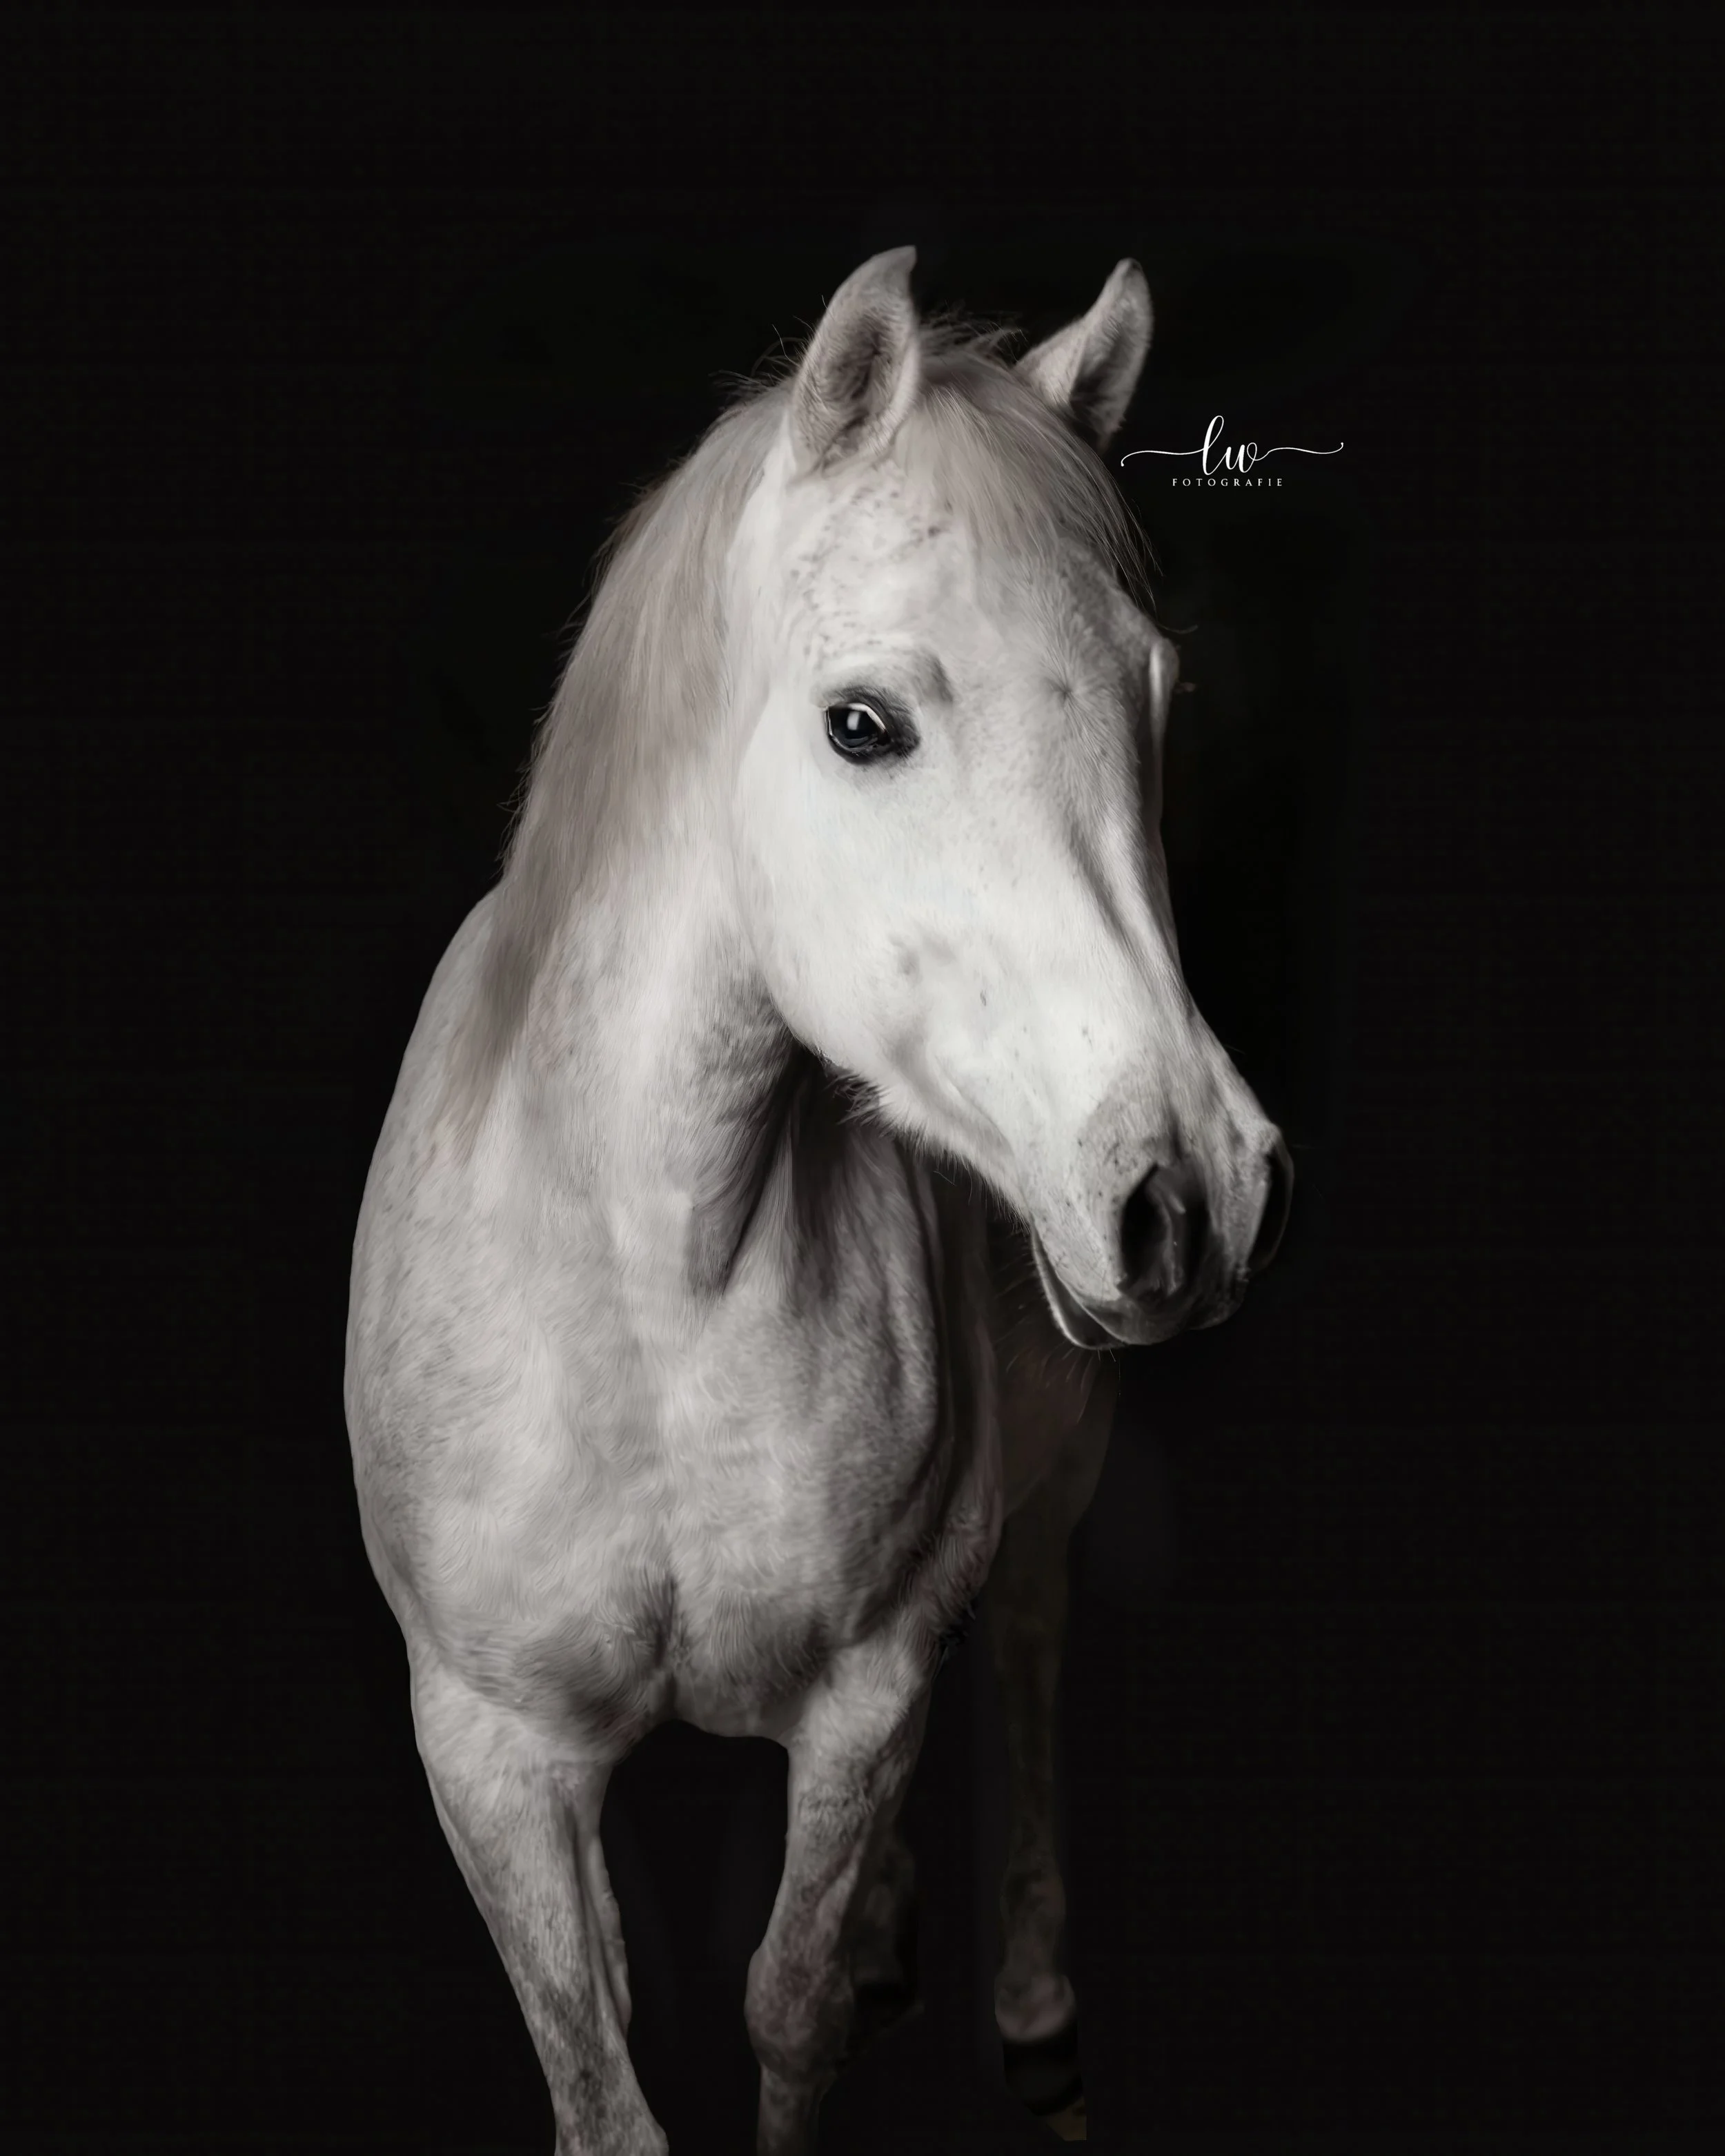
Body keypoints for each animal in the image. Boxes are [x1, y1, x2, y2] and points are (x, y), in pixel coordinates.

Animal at [345, 246, 1291, 2155]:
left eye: (1155, 699)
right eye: (864, 725)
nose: (1196, 1190)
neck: (654, 1288)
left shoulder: (864, 1693)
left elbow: (786, 2007)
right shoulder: (489, 1755)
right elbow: (603, 2080)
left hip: (1047, 1488)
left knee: (1027, 1651)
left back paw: (1024, 1999)